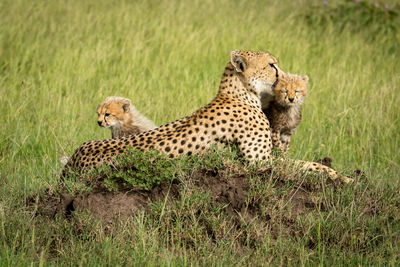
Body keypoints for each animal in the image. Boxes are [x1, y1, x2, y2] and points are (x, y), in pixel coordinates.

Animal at [61, 51, 350, 183]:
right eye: (271, 65)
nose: (281, 76)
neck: (241, 93)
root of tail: (74, 159)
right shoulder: (259, 162)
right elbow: (307, 165)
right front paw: (341, 176)